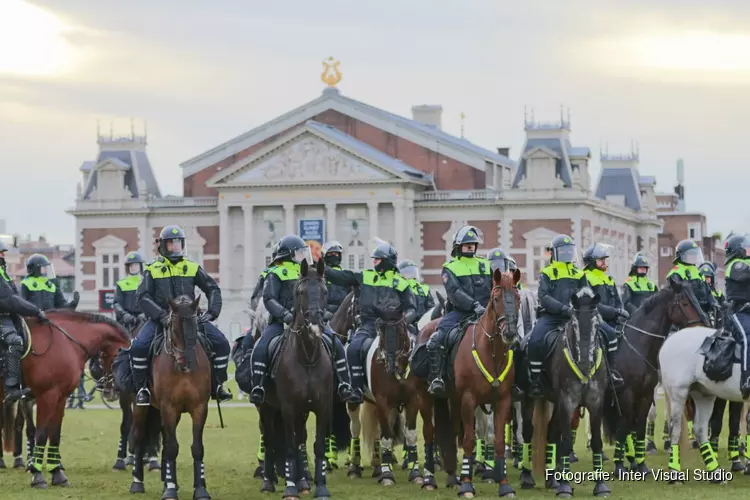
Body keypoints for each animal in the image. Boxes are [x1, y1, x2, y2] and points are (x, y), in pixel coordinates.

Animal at [0, 308, 129, 488]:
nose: (111, 391)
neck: (65, 343)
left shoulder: (60, 397)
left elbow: (54, 434)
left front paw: (57, 474)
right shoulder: (46, 396)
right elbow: (41, 434)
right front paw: (37, 475)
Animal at [129, 296, 212, 500]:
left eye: (195, 326)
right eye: (173, 329)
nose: (186, 363)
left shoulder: (199, 408)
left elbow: (196, 448)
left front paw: (200, 489)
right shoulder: (169, 408)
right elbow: (173, 448)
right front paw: (171, 490)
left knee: (165, 443)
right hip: (141, 407)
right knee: (138, 437)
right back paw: (137, 483)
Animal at [260, 258, 340, 500]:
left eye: (324, 291)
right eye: (301, 291)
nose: (315, 325)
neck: (307, 358)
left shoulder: (322, 407)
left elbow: (317, 446)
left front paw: (320, 487)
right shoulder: (287, 408)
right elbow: (287, 446)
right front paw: (290, 488)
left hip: (302, 412)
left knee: (299, 440)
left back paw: (303, 480)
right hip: (266, 408)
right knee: (270, 440)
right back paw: (269, 481)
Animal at [428, 268, 524, 498]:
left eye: (517, 298)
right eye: (496, 298)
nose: (509, 333)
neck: (491, 351)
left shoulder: (503, 400)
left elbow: (498, 441)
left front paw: (504, 484)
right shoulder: (468, 400)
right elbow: (468, 440)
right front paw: (466, 485)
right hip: (446, 400)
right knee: (453, 433)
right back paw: (452, 478)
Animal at [604, 280, 712, 474]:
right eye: (685, 303)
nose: (704, 326)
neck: (637, 348)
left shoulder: (646, 394)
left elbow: (638, 425)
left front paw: (640, 465)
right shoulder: (626, 394)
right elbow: (624, 425)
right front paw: (619, 466)